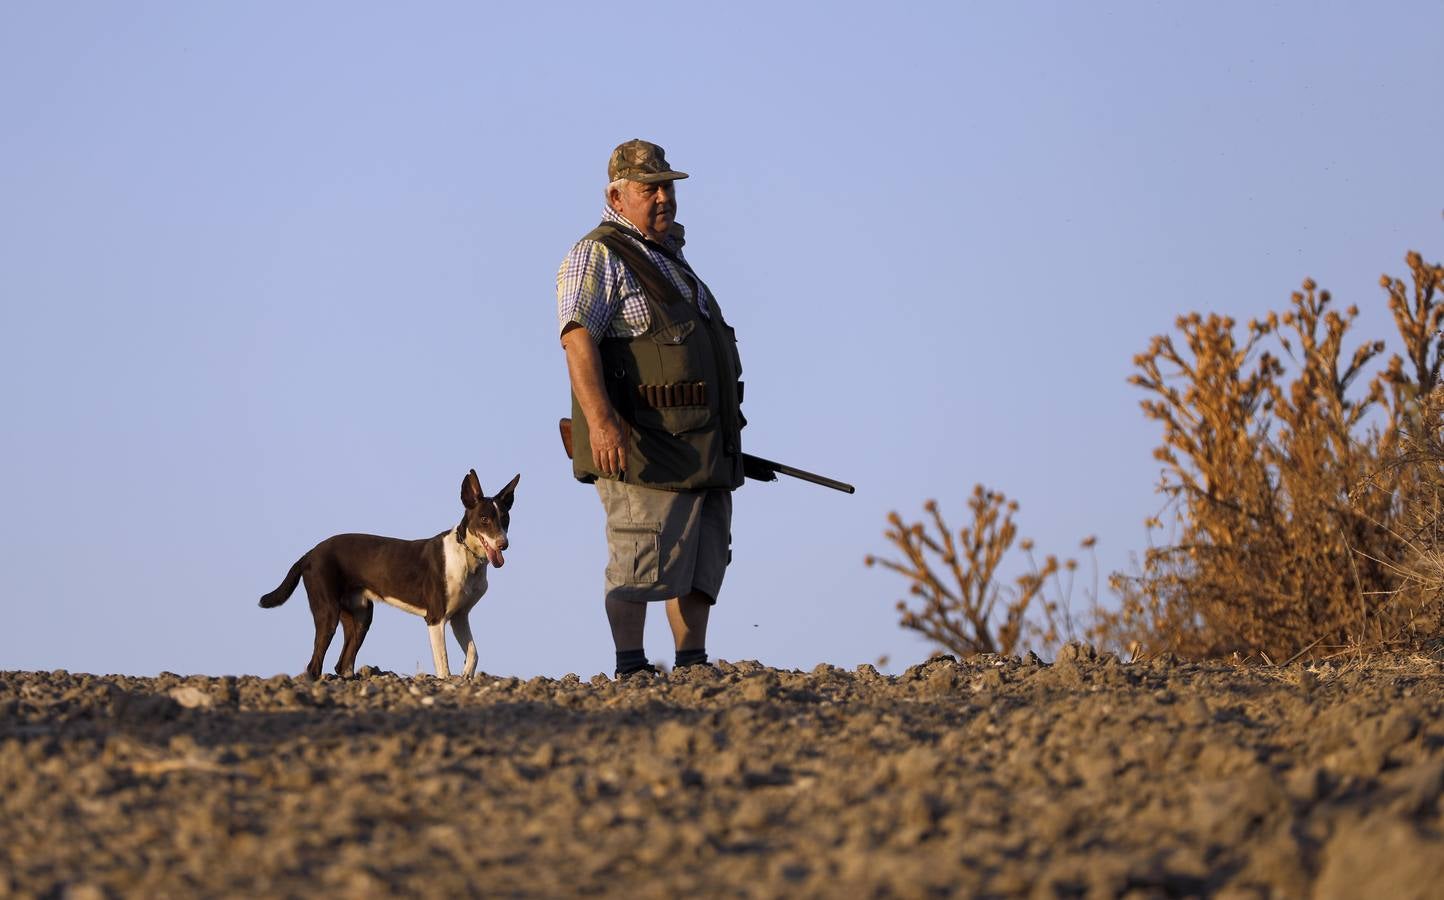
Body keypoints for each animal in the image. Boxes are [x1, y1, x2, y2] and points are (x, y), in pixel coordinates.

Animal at [259, 468, 519, 678]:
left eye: (505, 519)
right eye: (484, 519)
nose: (504, 544)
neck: (466, 555)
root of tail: (310, 553)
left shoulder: (459, 617)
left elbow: (473, 652)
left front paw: (466, 676)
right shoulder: (436, 619)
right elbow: (443, 664)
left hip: (361, 616)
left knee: (343, 663)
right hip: (328, 612)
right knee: (314, 665)